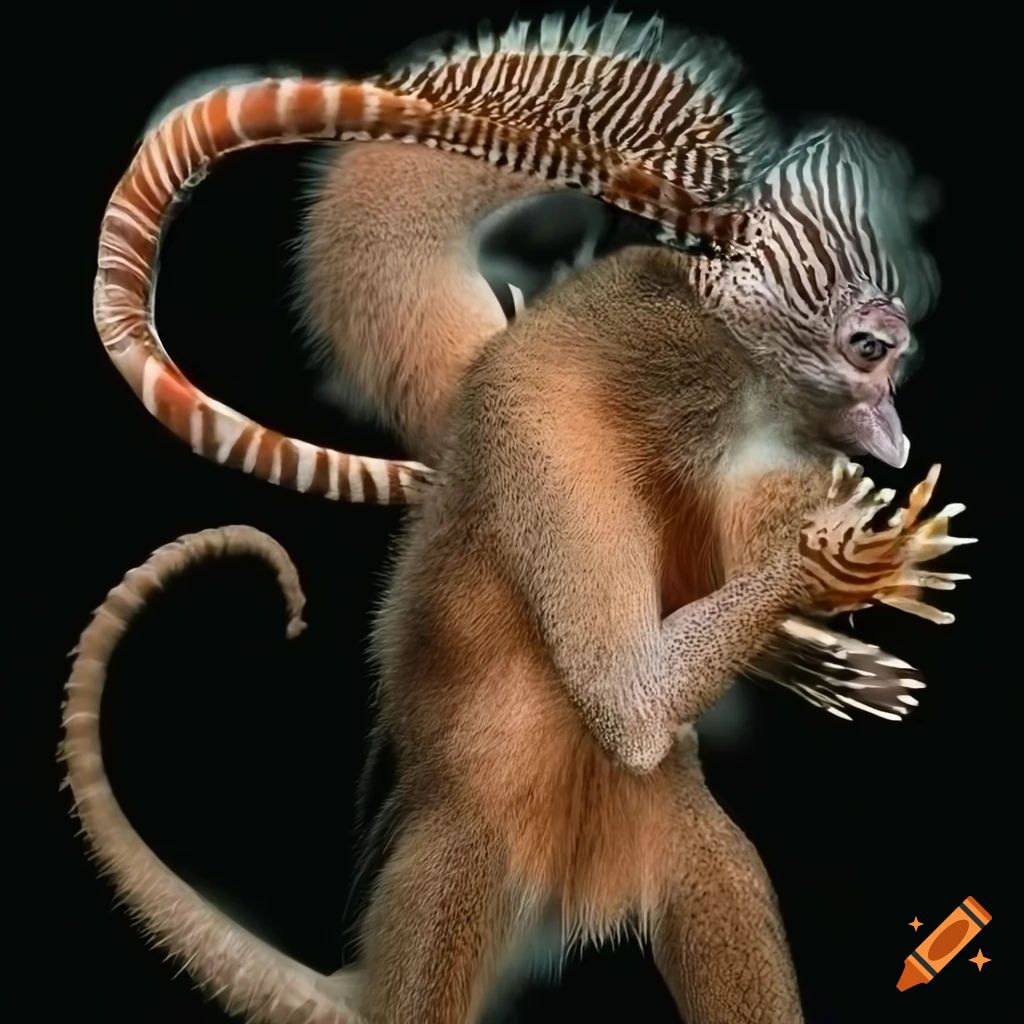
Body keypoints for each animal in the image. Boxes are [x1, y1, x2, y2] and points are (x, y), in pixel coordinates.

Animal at [62, 239, 974, 1023]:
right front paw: (838, 566)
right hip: (456, 856)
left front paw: (825, 632)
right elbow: (629, 704)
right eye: (869, 352)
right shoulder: (554, 440)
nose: (893, 424)